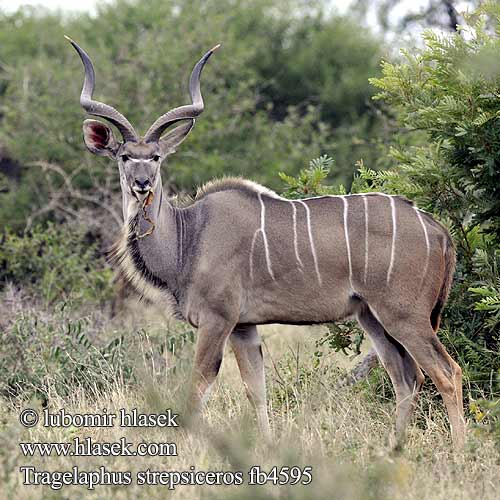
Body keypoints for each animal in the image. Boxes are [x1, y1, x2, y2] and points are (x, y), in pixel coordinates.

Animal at [67, 37, 464, 448]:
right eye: (125, 157)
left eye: (156, 157)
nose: (141, 184)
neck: (189, 236)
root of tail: (439, 231)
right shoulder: (244, 327)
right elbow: (255, 390)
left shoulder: (218, 320)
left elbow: (197, 389)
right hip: (371, 315)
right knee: (406, 377)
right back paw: (394, 450)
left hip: (405, 316)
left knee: (447, 373)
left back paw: (458, 451)